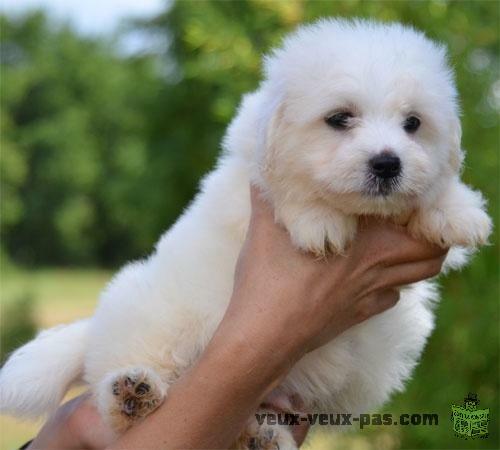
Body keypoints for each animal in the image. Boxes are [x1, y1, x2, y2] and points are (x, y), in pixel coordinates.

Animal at [0, 18, 492, 450]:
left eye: (413, 124)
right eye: (339, 118)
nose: (388, 163)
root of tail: (95, 329)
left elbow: (432, 192)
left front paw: (459, 209)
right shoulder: (246, 174)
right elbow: (284, 188)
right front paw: (318, 219)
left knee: (240, 424)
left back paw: (263, 437)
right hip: (159, 323)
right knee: (124, 390)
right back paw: (134, 395)